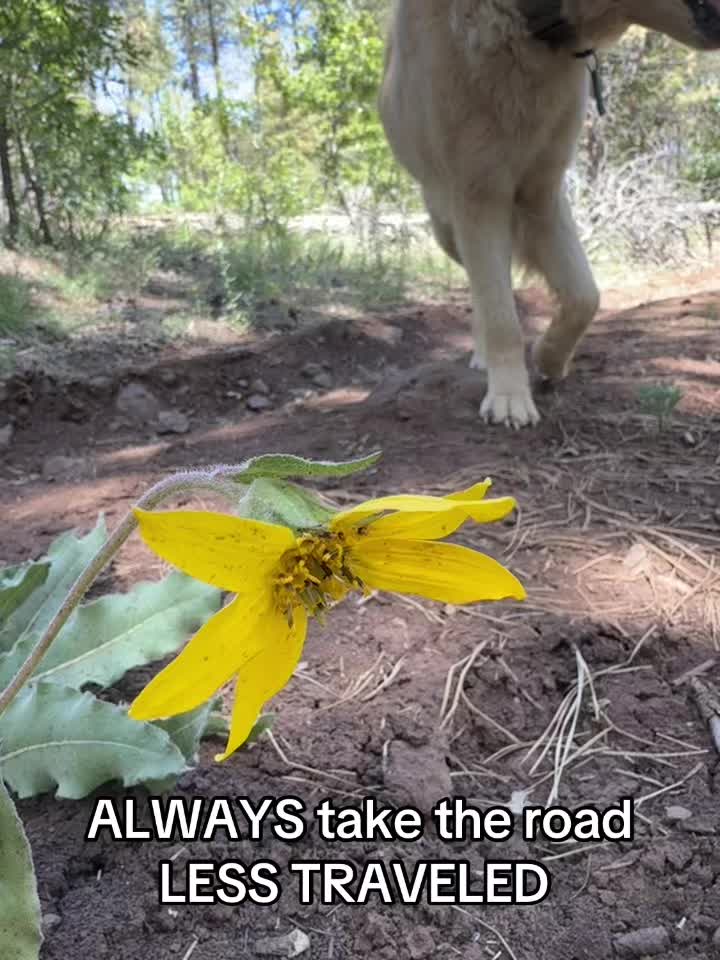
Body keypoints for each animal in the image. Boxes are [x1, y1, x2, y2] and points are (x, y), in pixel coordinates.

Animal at [379, 1, 720, 427]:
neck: (527, 28)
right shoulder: (479, 194)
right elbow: (502, 318)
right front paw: (510, 398)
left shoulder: (542, 194)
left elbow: (585, 296)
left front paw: (549, 359)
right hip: (447, 227)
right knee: (481, 289)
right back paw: (484, 357)